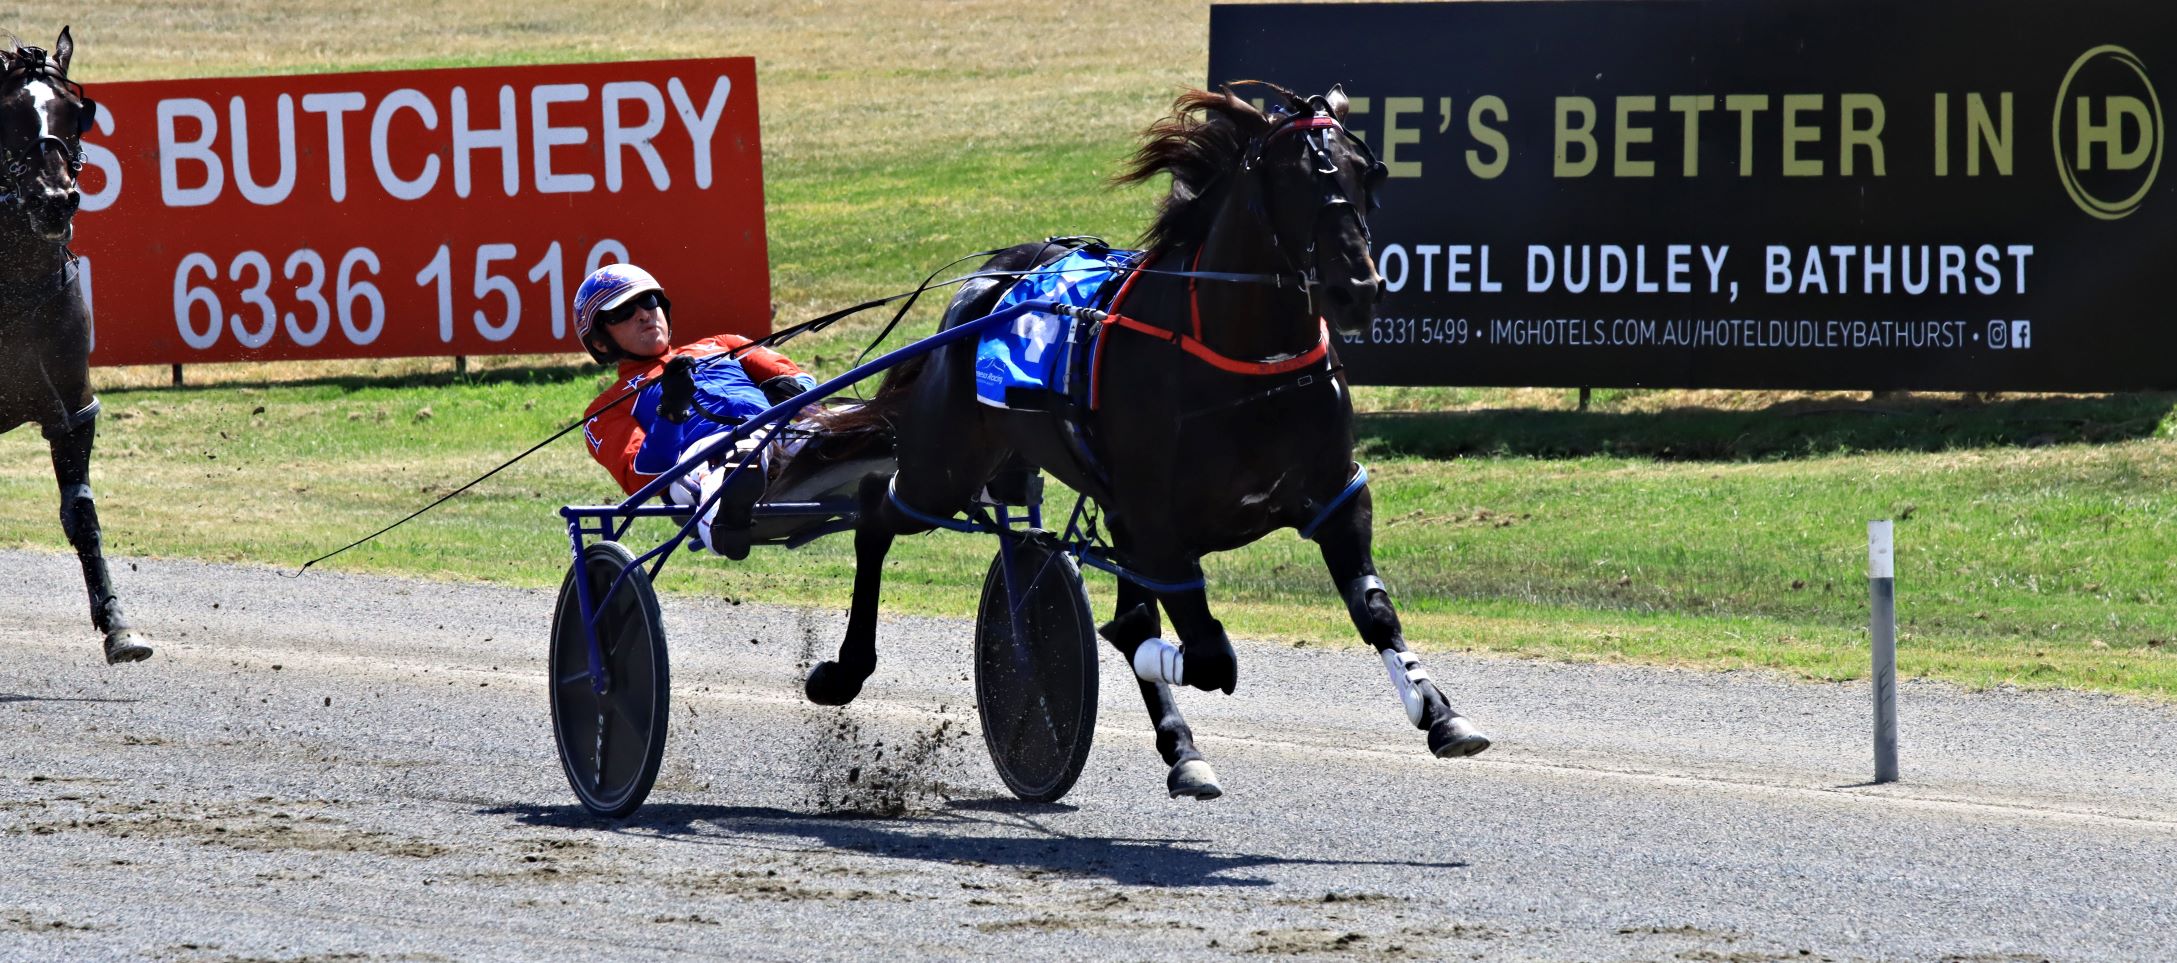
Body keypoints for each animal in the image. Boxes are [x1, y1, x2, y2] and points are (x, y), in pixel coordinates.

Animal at [804, 83, 1488, 799]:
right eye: (1292, 180)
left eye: (1365, 174)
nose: (1355, 289)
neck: (1246, 360)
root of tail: (986, 282)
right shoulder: (1155, 525)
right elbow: (1204, 655)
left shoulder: (1332, 496)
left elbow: (1374, 611)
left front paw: (1440, 712)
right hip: (943, 470)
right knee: (876, 510)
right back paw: (843, 671)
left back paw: (1181, 748)